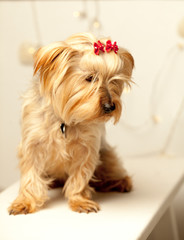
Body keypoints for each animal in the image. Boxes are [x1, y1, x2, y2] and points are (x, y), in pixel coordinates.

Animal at [8, 32, 134, 215]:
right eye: (90, 78)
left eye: (114, 80)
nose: (110, 107)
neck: (65, 120)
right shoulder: (32, 144)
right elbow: (30, 175)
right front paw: (24, 202)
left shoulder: (87, 148)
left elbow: (80, 177)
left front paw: (79, 200)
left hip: (106, 154)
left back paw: (119, 182)